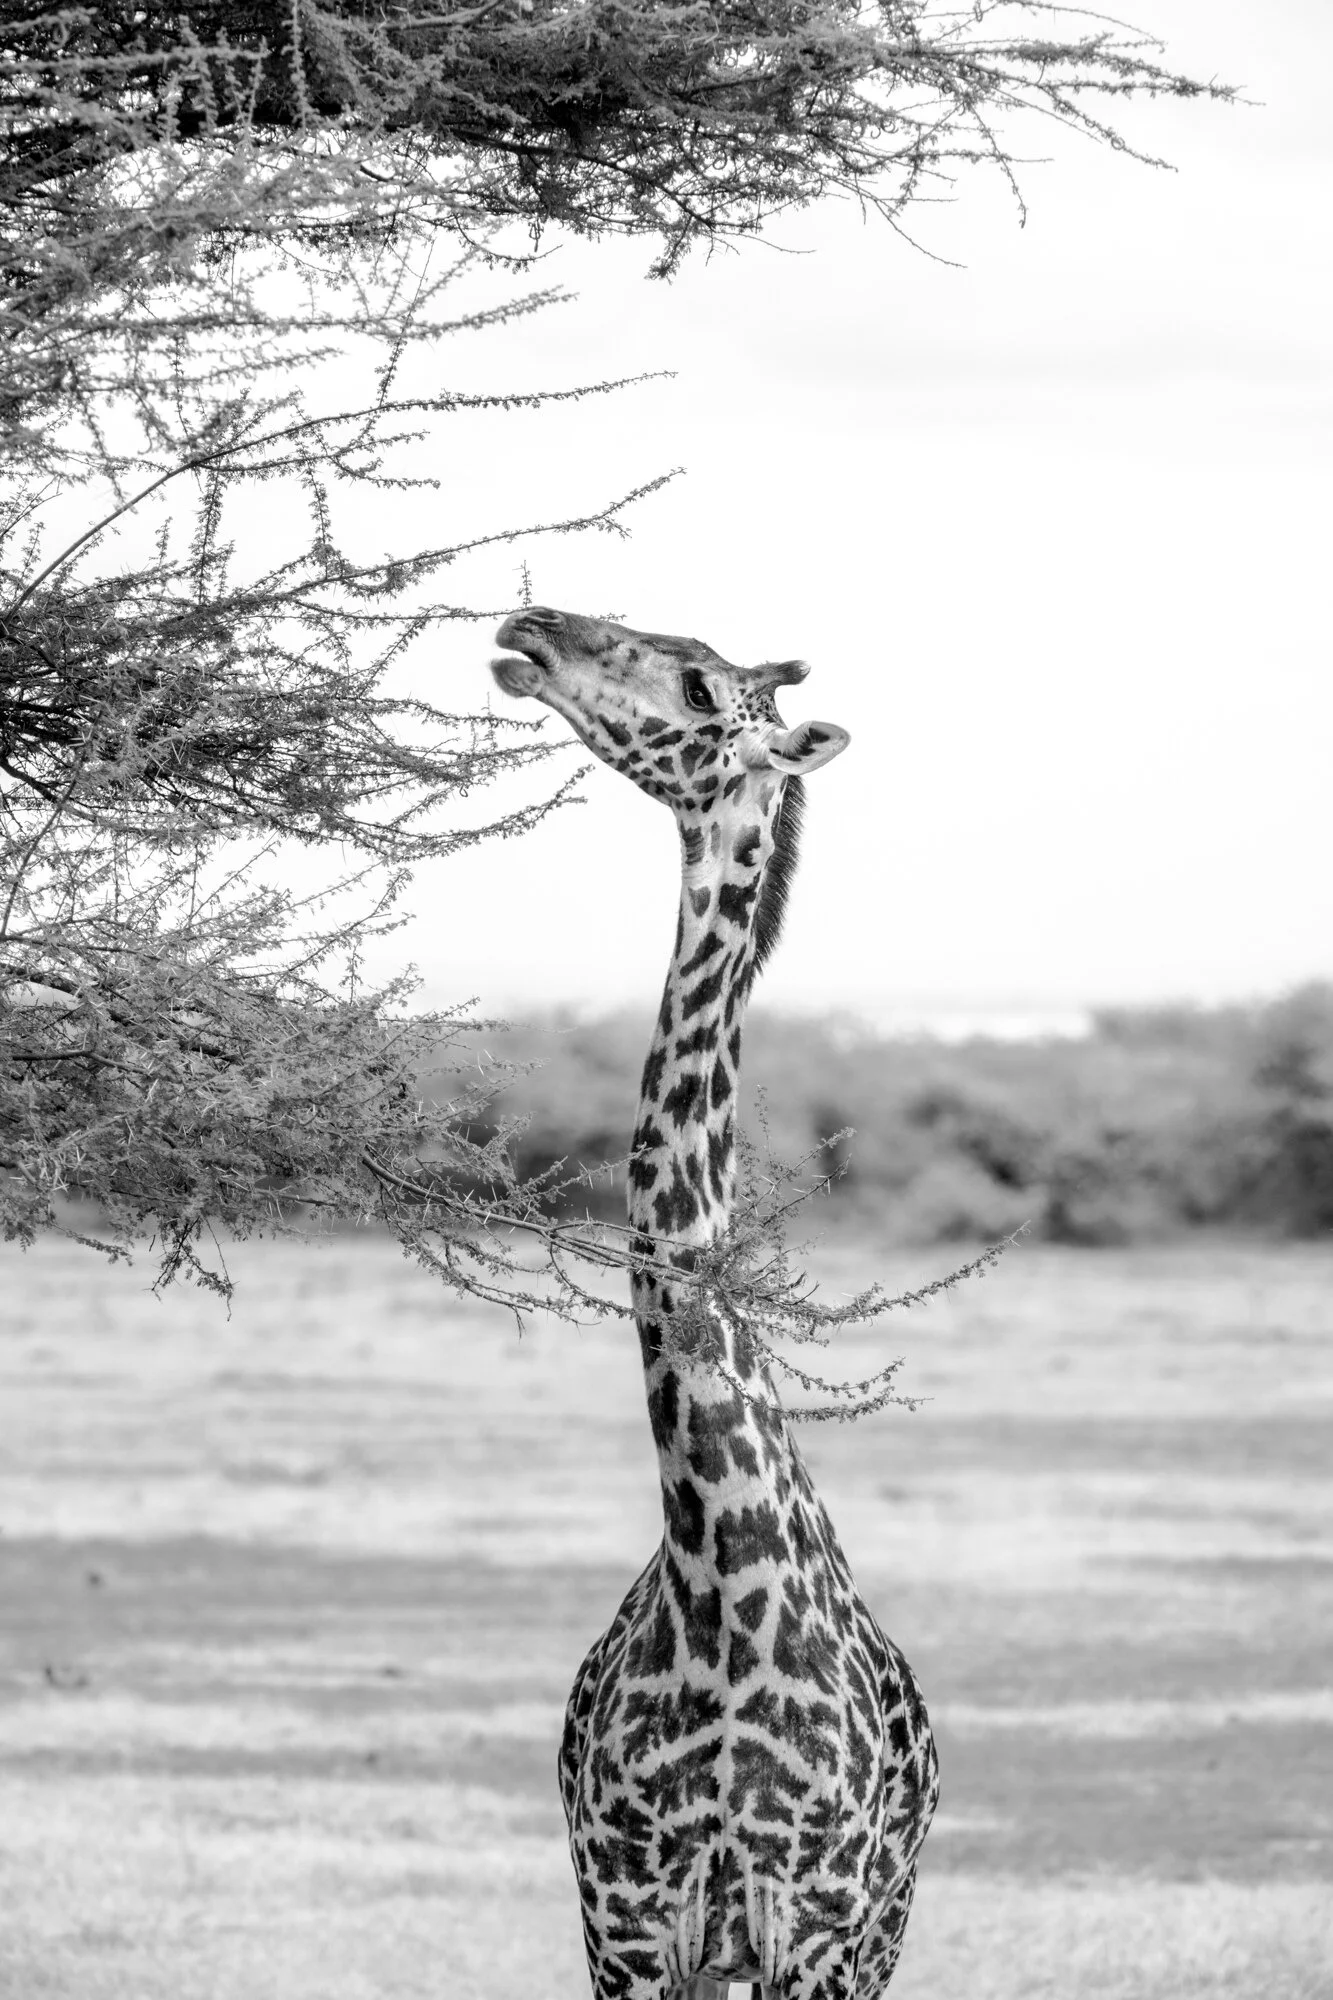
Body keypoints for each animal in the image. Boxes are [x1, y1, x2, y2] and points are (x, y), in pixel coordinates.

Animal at [491, 608, 938, 2000]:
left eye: (697, 687)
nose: (529, 629)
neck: (715, 1567)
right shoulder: (628, 1914)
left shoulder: (817, 1921)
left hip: (882, 1926)